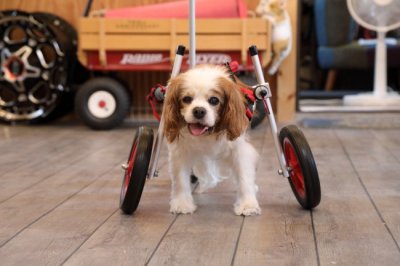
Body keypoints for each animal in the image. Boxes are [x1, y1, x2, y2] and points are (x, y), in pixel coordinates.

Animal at [163, 65, 260, 216]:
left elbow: (244, 177)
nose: (199, 111)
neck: (208, 133)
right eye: (186, 99)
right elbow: (180, 180)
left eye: (214, 100)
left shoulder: (240, 151)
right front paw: (182, 204)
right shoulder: (180, 153)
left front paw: (248, 205)